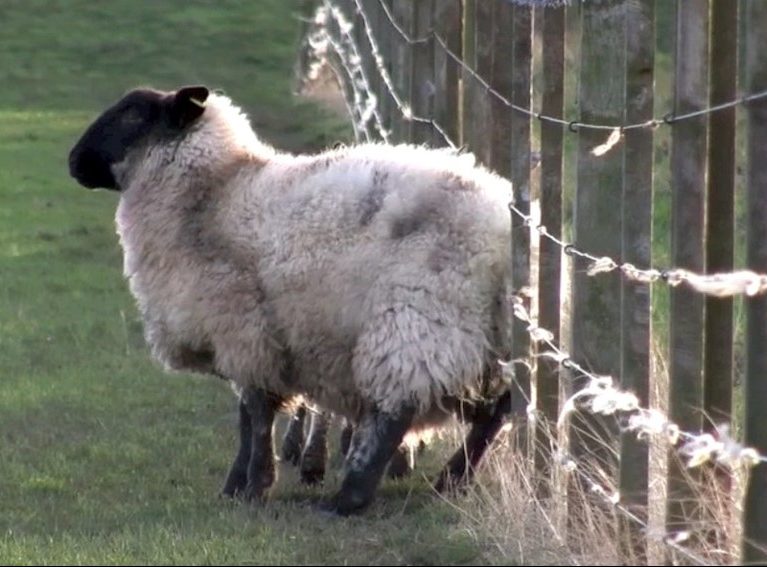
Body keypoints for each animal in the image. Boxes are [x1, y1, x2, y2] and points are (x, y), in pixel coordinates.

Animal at [68, 85, 515, 515]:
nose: (73, 162)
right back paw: (452, 481)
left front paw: (252, 485)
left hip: (417, 317)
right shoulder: (252, 340)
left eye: (133, 114)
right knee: (495, 410)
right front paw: (238, 487)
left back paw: (350, 498)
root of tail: (500, 227)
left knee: (398, 409)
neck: (216, 193)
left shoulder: (243, 330)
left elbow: (255, 414)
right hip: (478, 341)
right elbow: (251, 415)